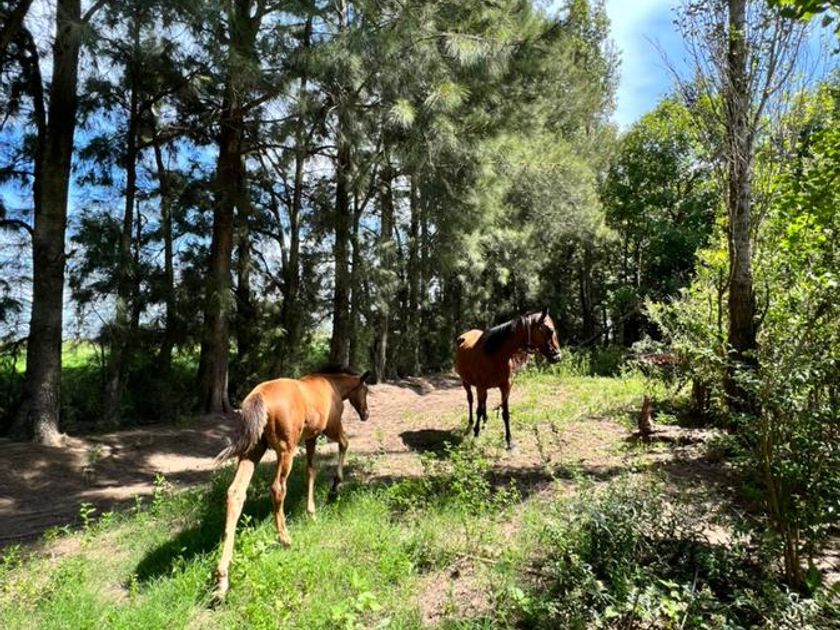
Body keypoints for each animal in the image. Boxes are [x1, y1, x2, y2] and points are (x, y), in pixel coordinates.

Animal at [211, 366, 372, 600]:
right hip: (286, 449)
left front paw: (311, 512)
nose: (366, 414)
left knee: (236, 492)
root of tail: (258, 396)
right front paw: (334, 489)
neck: (332, 386)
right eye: (366, 390)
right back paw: (285, 539)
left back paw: (222, 579)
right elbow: (345, 443)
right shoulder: (331, 427)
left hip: (254, 449)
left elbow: (310, 471)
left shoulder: (311, 437)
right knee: (277, 488)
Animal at [454, 308, 561, 451]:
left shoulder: (505, 387)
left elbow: (505, 414)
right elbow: (478, 409)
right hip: (466, 382)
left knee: (483, 402)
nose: (558, 357)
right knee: (471, 401)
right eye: (549, 330)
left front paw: (510, 441)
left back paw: (485, 421)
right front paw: (476, 433)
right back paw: (471, 425)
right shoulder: (480, 387)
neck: (495, 354)